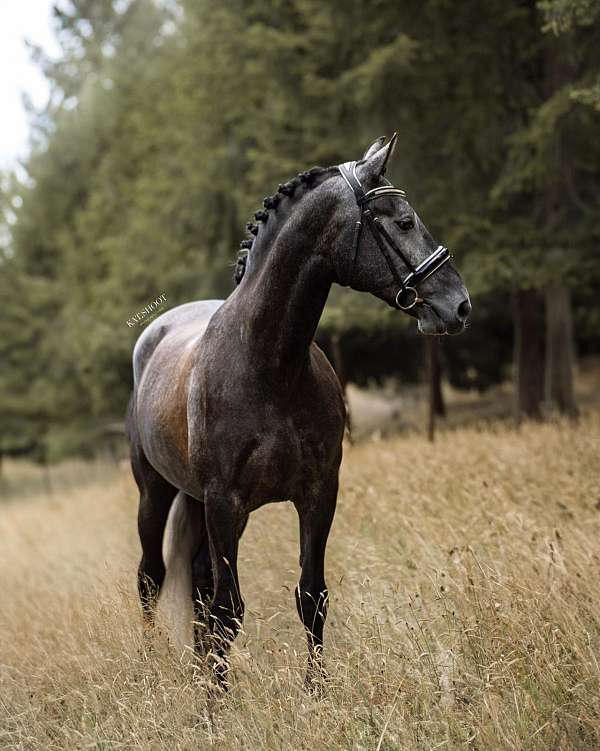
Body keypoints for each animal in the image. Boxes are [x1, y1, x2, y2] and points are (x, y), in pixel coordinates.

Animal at [126, 134, 472, 688]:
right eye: (403, 222)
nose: (458, 305)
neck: (269, 364)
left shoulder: (317, 495)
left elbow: (311, 596)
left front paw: (317, 693)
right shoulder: (225, 504)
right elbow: (228, 611)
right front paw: (217, 705)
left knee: (197, 581)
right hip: (156, 493)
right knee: (151, 577)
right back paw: (154, 666)